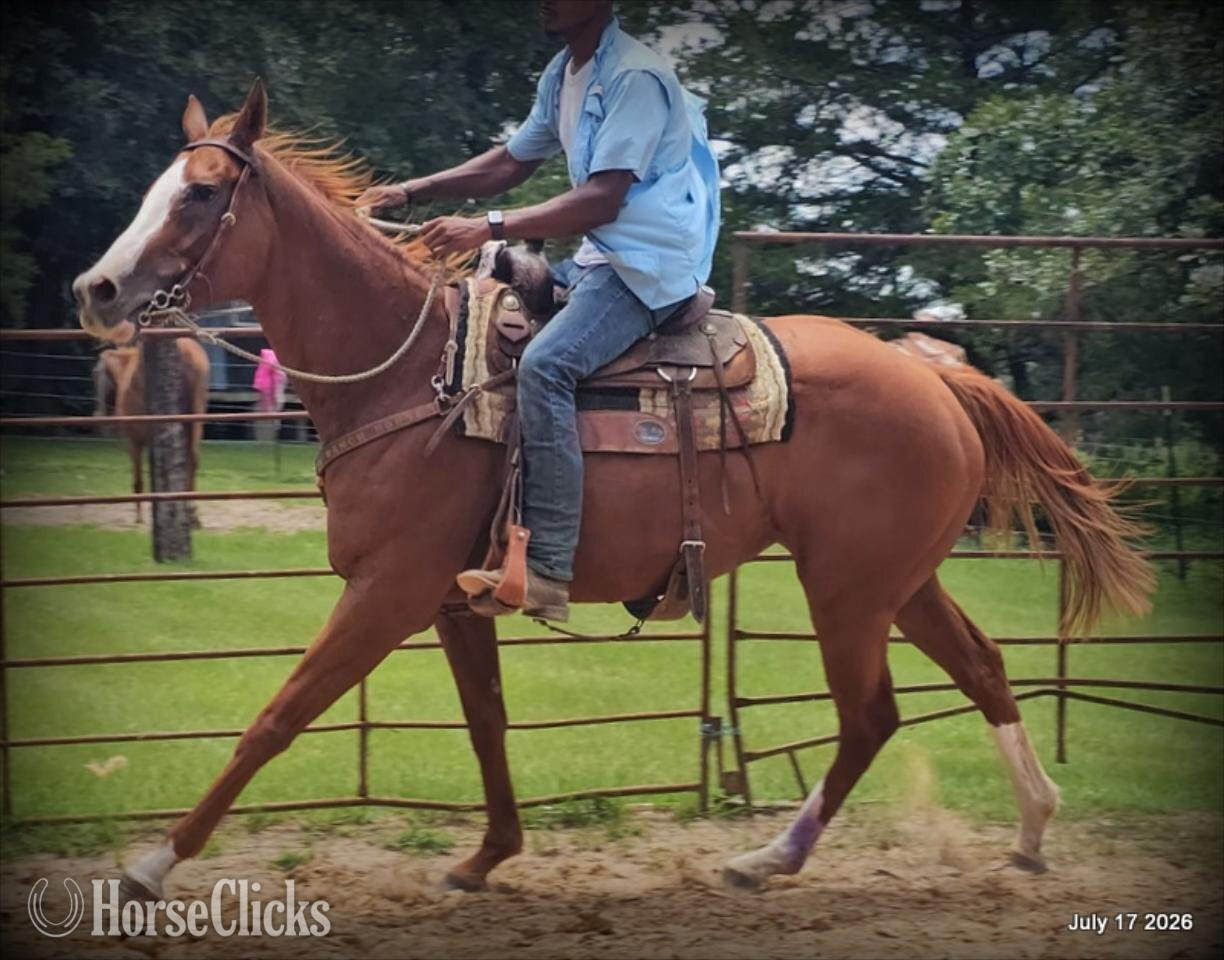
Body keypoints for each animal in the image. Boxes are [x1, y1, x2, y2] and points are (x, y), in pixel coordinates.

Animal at [92, 340, 210, 523]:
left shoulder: (133, 442)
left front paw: (139, 517)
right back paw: (191, 512)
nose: (97, 414)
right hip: (195, 421)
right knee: (193, 458)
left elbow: (139, 478)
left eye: (94, 375)